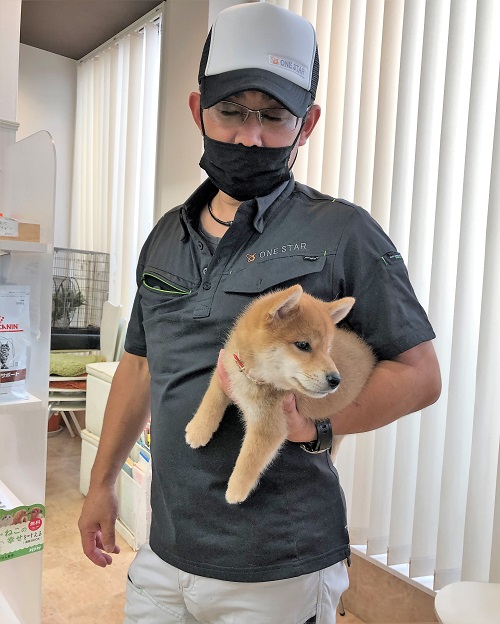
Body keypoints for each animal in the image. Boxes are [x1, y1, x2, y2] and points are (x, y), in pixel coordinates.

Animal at [185, 284, 375, 504]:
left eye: (328, 349)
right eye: (303, 345)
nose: (336, 379)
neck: (252, 377)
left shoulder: (269, 426)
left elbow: (249, 459)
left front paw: (236, 490)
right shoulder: (225, 372)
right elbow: (212, 400)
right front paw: (198, 430)